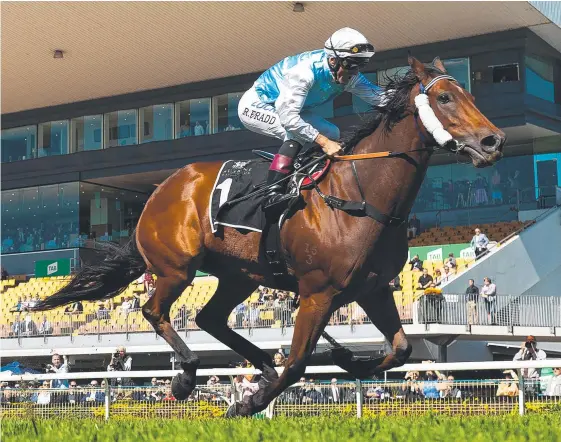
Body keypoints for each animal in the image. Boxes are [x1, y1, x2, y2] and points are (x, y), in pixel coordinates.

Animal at [34, 55, 504, 414]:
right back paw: (187, 375)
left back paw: (261, 364)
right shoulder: (318, 293)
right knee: (155, 311)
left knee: (208, 318)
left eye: (470, 94)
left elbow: (401, 349)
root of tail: (157, 191)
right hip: (176, 269)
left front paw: (344, 356)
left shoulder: (373, 289)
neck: (361, 196)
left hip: (238, 275)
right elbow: (298, 362)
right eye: (444, 97)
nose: (493, 141)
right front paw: (250, 402)